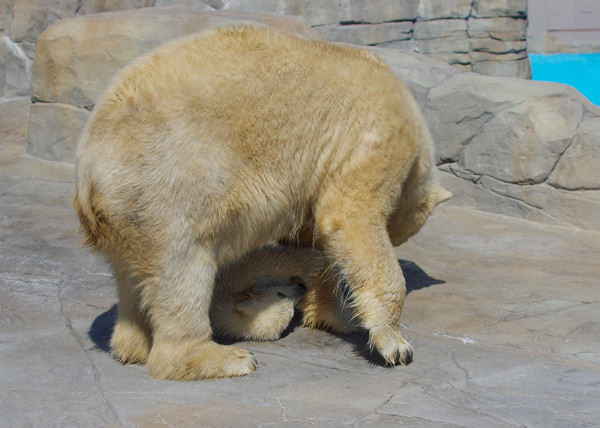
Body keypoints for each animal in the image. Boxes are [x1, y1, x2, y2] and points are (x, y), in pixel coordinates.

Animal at [74, 25, 451, 381]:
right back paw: (224, 358)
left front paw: (333, 313)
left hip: (127, 207)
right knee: (183, 264)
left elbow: (319, 241)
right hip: (168, 177)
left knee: (132, 275)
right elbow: (348, 217)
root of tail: (89, 167)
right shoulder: (375, 136)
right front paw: (396, 345)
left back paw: (131, 346)